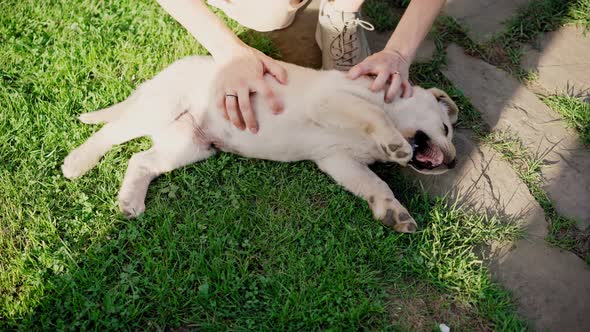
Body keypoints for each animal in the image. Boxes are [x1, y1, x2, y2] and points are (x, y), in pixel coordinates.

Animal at [62, 56, 460, 233]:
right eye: (445, 127)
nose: (455, 162)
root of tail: (168, 71)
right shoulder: (332, 101)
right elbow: (373, 113)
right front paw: (395, 143)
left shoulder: (339, 161)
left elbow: (376, 185)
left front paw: (394, 211)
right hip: (160, 106)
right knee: (109, 133)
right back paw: (77, 162)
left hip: (188, 144)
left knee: (140, 160)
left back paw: (130, 201)